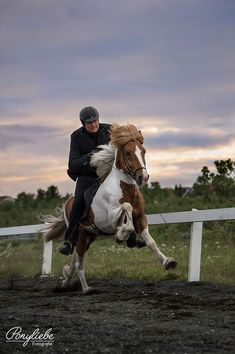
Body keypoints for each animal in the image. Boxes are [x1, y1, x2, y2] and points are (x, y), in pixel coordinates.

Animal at [42, 124, 176, 294]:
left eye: (143, 151)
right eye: (128, 153)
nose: (143, 177)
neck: (126, 188)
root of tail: (68, 202)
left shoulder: (140, 217)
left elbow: (150, 241)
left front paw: (167, 262)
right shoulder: (111, 217)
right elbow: (126, 209)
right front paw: (120, 235)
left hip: (90, 236)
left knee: (76, 259)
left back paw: (66, 282)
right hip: (80, 234)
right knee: (78, 261)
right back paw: (86, 289)